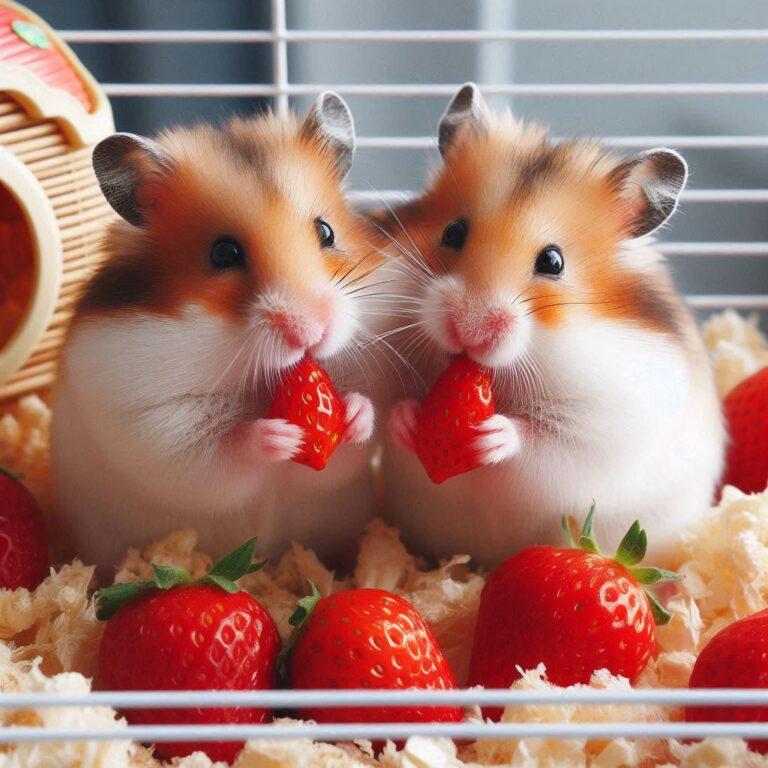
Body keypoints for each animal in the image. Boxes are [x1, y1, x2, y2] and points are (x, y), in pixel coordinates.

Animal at [50, 93, 380, 572]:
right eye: (223, 253)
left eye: (326, 231)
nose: (313, 331)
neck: (258, 379)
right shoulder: (149, 422)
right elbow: (216, 453)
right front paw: (279, 435)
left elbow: (343, 452)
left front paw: (354, 413)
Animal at [372, 84, 728, 568]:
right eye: (453, 232)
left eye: (553, 261)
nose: (468, 331)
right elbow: (393, 413)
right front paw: (410, 419)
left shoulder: (603, 427)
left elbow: (542, 443)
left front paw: (492, 435)